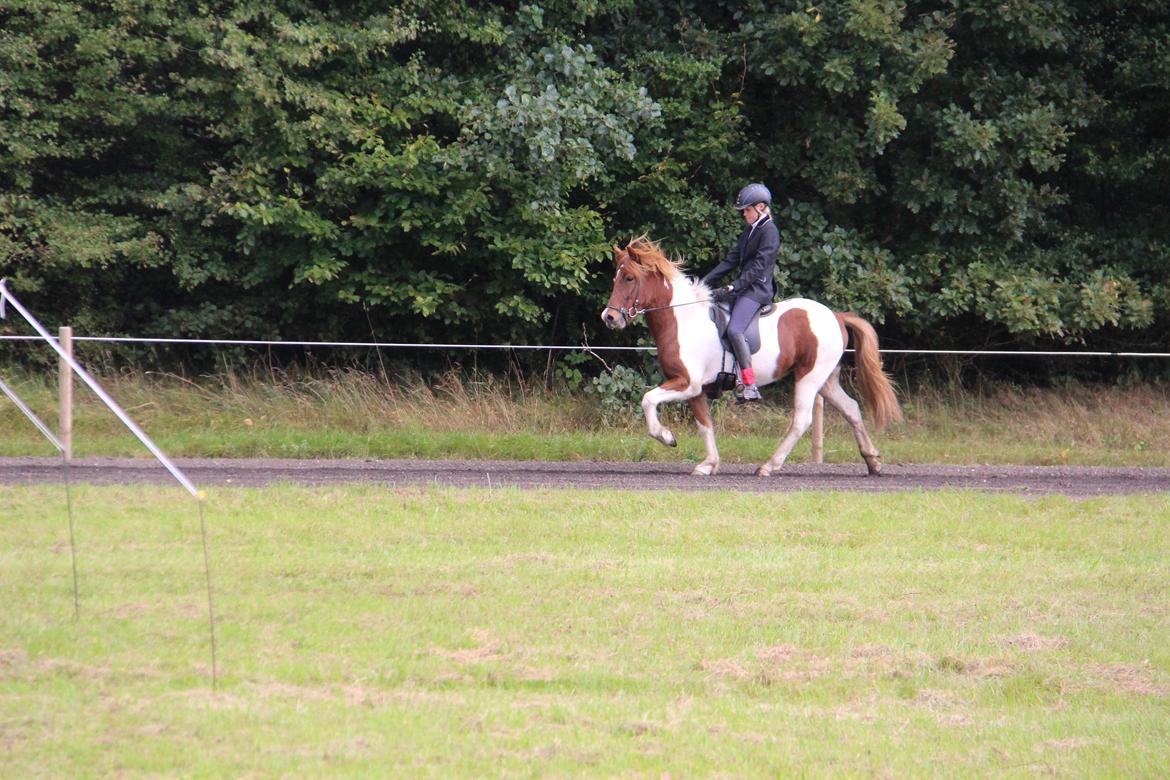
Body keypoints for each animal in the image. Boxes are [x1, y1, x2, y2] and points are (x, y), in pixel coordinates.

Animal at [599, 236, 898, 477]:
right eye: (615, 278)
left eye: (629, 278)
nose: (609, 318)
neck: (683, 319)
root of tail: (836, 315)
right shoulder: (695, 389)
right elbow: (705, 425)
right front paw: (708, 464)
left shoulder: (686, 383)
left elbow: (648, 400)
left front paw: (666, 436)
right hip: (826, 379)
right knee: (851, 409)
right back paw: (873, 462)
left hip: (809, 377)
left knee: (802, 420)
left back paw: (769, 466)